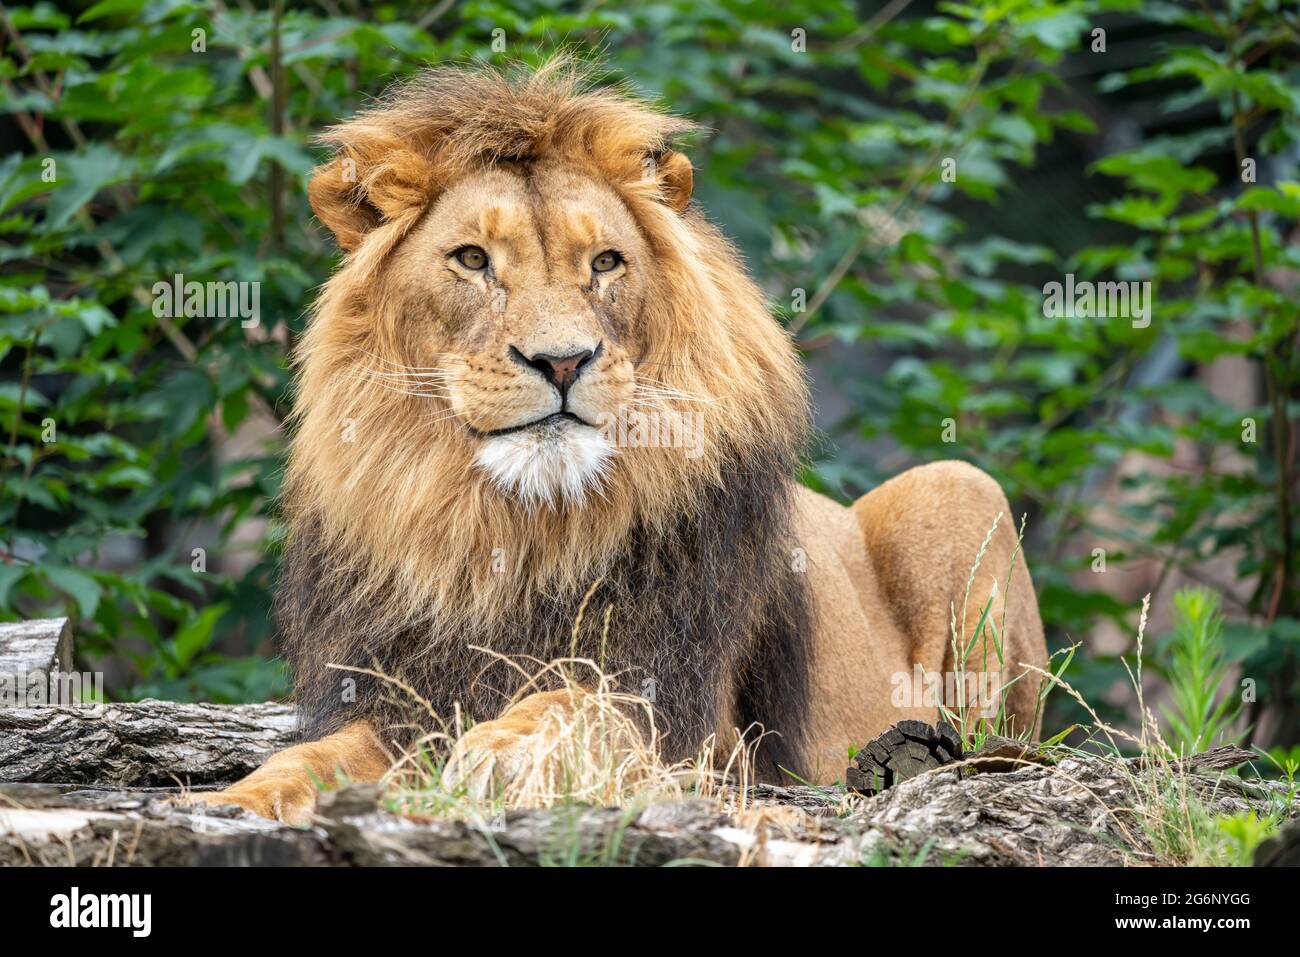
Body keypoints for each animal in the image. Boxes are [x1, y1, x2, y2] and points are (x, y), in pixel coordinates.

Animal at [185, 59, 1045, 821]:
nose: (563, 360)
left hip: (959, 487)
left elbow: (580, 702)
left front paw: (508, 748)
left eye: (605, 262)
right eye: (472, 259)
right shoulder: (402, 695)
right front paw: (235, 799)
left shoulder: (694, 722)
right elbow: (315, 756)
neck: (514, 532)